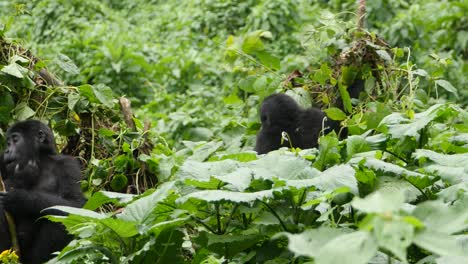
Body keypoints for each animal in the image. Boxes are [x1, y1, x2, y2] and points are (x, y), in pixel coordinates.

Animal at [0, 120, 86, 264]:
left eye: (15, 140)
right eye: (8, 143)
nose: (6, 150)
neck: (41, 159)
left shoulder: (68, 164)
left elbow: (76, 204)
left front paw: (21, 198)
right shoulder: (3, 163)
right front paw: (23, 176)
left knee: (58, 215)